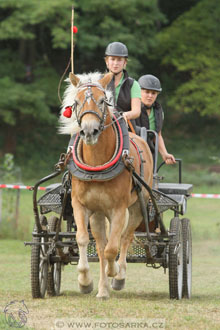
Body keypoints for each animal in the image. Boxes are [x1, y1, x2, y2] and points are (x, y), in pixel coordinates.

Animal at [59, 72, 154, 300]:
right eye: (76, 103)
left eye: (102, 101)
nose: (89, 131)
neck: (96, 165)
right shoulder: (80, 205)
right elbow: (83, 239)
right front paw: (85, 280)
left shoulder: (119, 209)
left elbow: (114, 248)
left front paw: (115, 271)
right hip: (98, 214)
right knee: (101, 246)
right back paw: (102, 290)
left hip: (136, 208)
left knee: (124, 238)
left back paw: (118, 277)